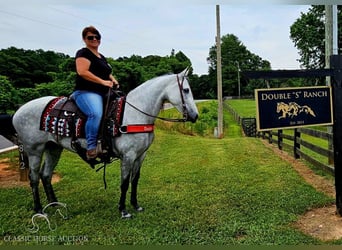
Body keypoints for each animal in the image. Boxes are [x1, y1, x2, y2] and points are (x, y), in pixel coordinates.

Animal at [12, 69, 198, 219]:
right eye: (186, 90)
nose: (195, 116)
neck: (134, 114)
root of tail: (17, 112)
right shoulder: (128, 156)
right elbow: (124, 182)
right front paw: (123, 210)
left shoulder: (140, 155)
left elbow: (135, 180)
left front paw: (135, 204)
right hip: (34, 150)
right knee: (34, 177)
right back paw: (39, 210)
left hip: (53, 148)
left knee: (46, 175)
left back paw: (55, 204)